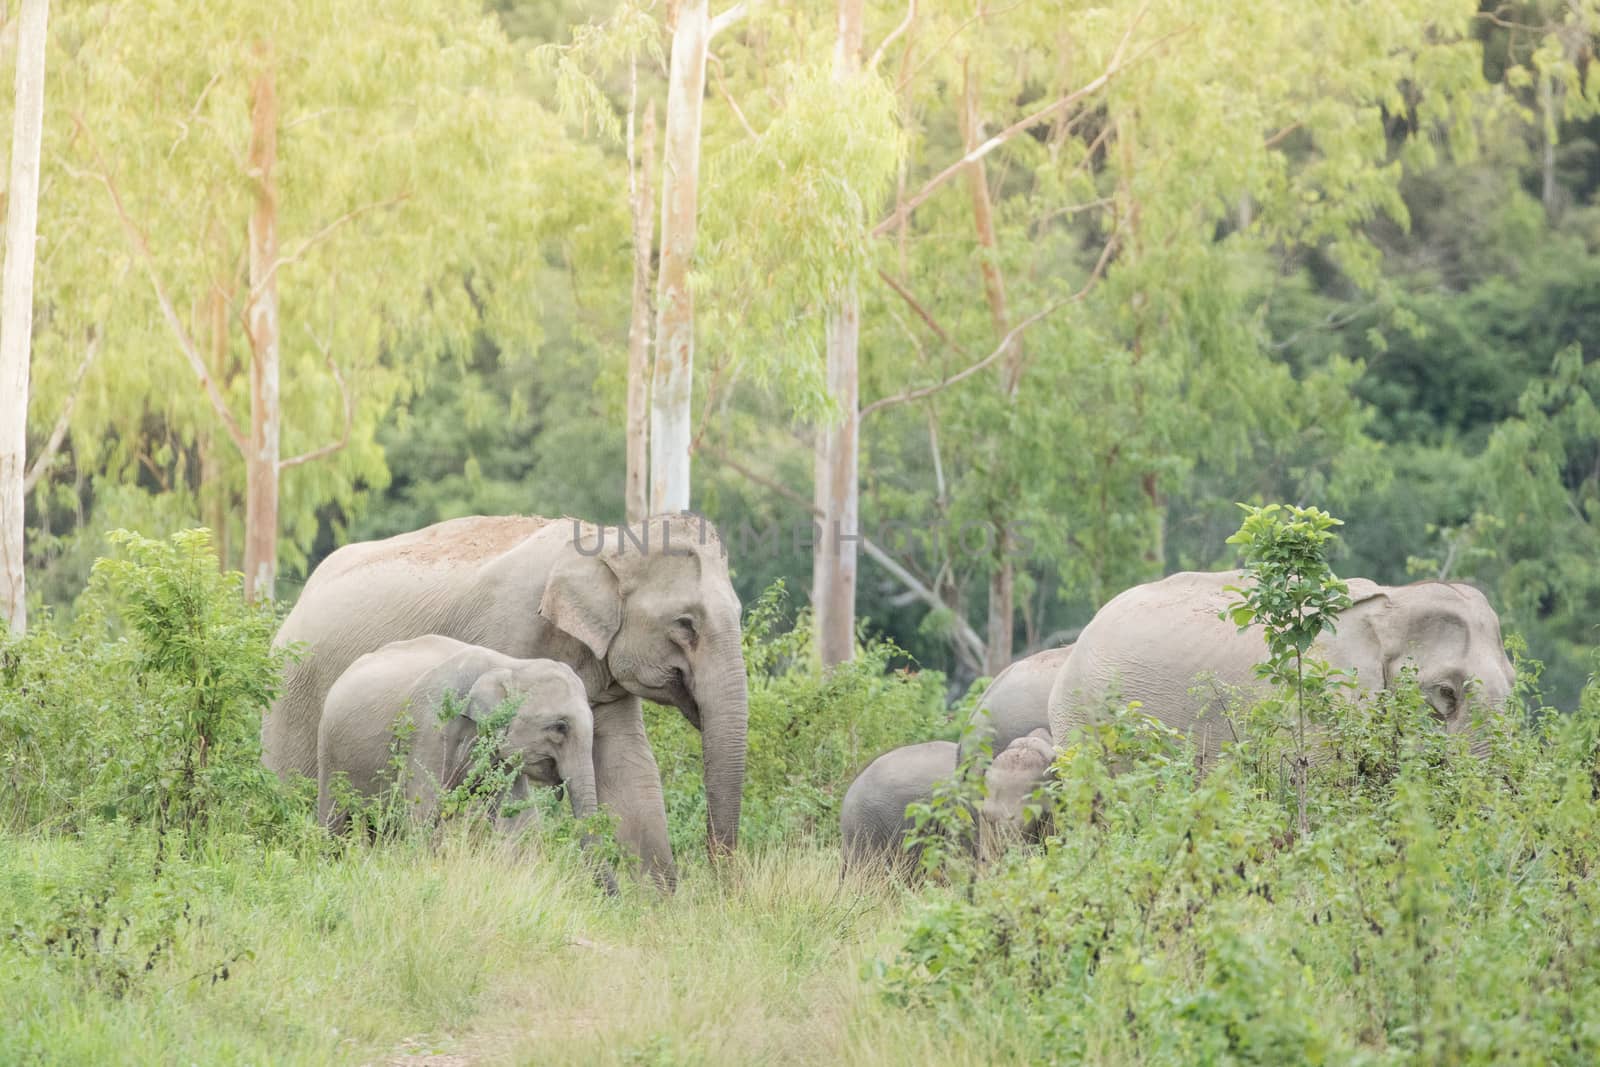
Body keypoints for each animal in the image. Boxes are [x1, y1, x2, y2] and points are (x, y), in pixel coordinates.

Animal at [315, 633, 598, 831]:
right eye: (560, 727)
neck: (511, 665)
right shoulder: (431, 727)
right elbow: (423, 809)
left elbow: (517, 820)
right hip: (330, 751)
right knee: (334, 821)